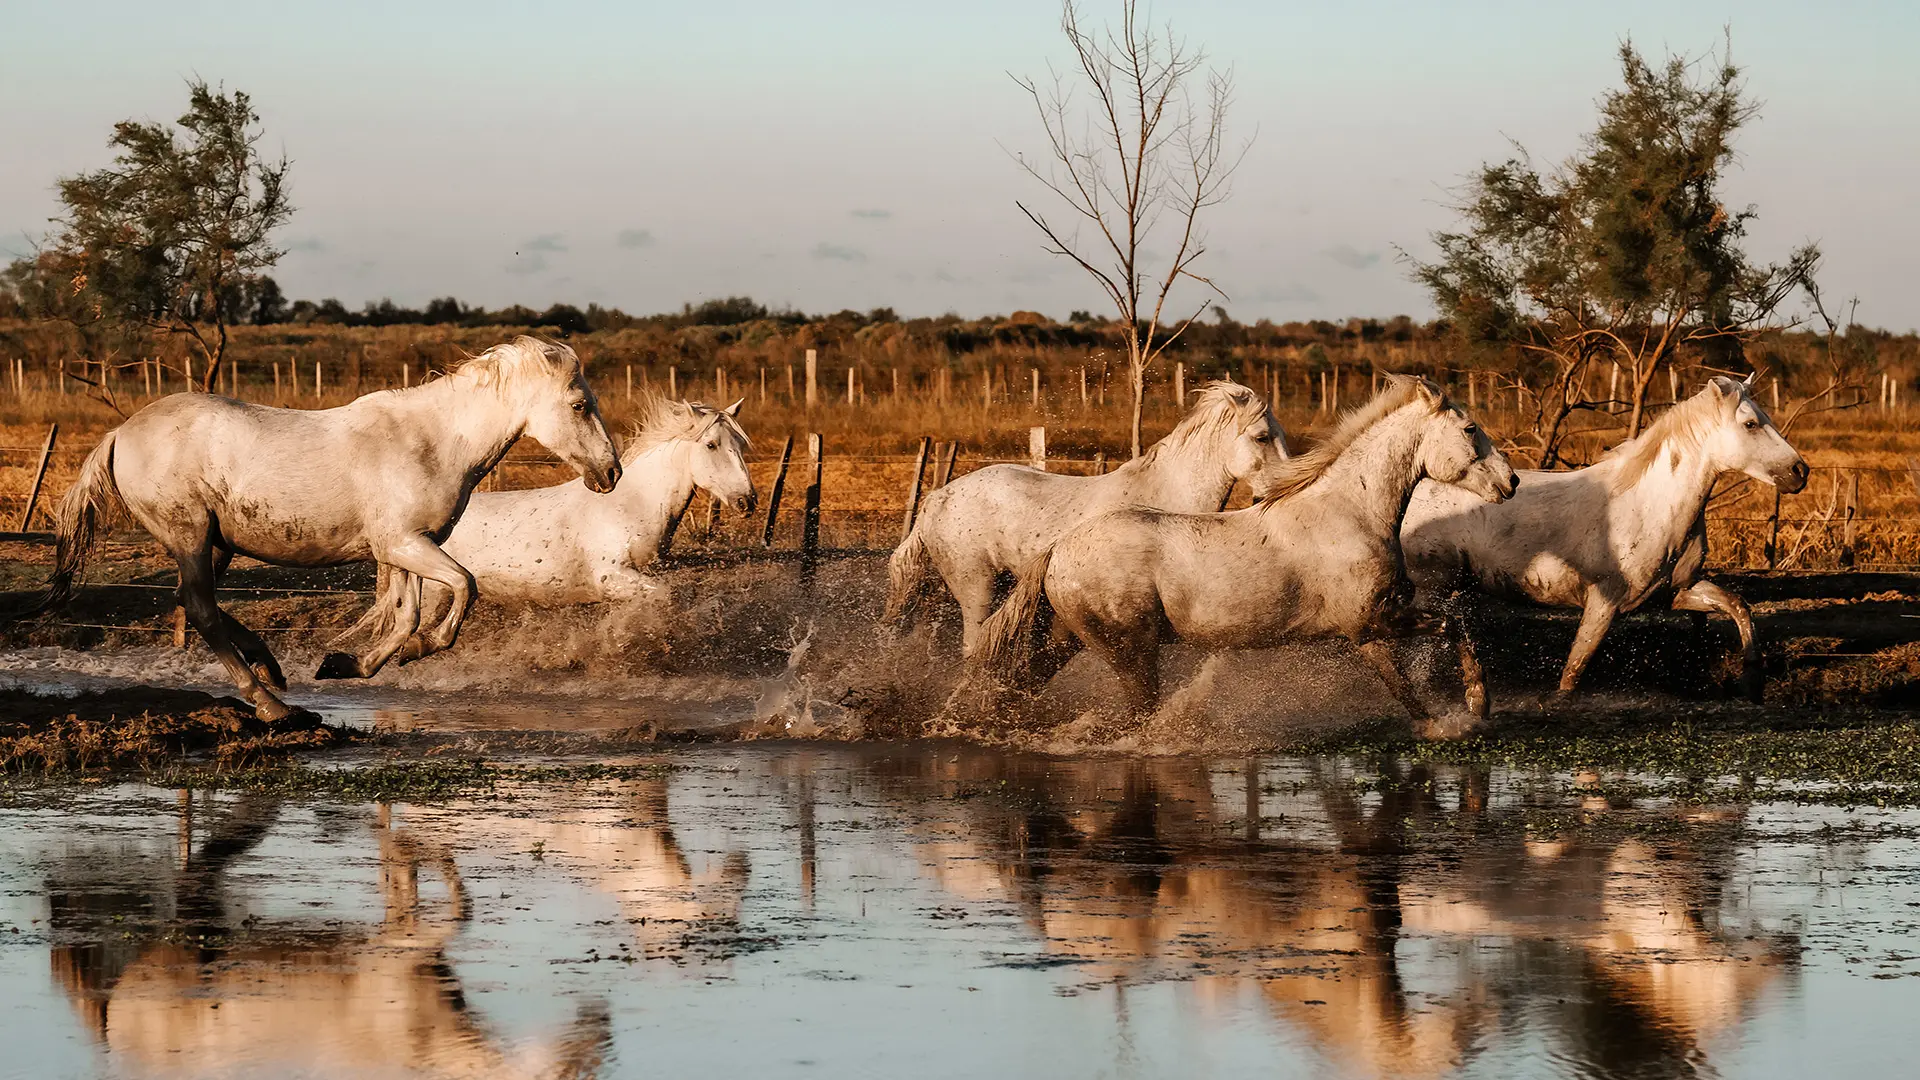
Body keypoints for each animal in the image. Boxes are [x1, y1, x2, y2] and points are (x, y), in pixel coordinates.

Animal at [47, 336, 621, 720]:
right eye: (579, 405)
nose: (611, 473)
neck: (434, 442)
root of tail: (121, 432)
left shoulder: (406, 547)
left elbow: (406, 615)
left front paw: (349, 664)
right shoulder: (404, 544)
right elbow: (464, 587)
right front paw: (416, 650)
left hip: (215, 544)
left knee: (193, 605)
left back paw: (272, 668)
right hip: (189, 535)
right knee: (202, 611)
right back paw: (270, 703)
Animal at [975, 375, 1516, 729]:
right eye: (1470, 429)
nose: (1510, 482)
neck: (1349, 512)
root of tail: (1059, 548)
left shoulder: (1367, 631)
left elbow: (1412, 677)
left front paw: (1460, 714)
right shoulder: (1370, 620)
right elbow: (1449, 629)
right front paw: (1473, 707)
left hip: (1069, 639)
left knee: (1020, 684)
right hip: (1129, 650)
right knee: (1136, 715)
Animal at [1402, 374, 1808, 713]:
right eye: (1750, 424)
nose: (1800, 471)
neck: (1649, 504)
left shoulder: (1675, 591)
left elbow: (1738, 607)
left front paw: (1753, 683)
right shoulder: (1604, 601)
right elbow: (1575, 667)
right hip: (1431, 586)